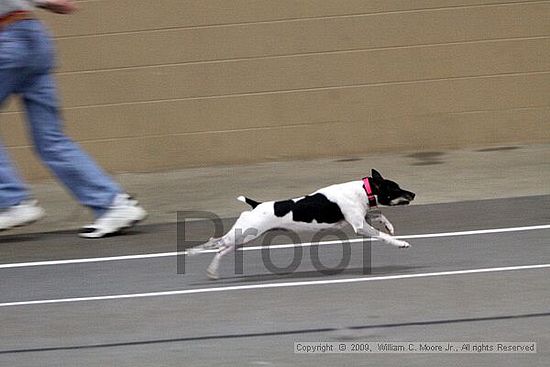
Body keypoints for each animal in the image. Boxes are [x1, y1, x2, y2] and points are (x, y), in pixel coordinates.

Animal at [192, 170, 416, 278]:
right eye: (395, 189)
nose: (413, 194)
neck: (363, 190)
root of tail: (255, 205)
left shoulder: (360, 218)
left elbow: (378, 215)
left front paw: (389, 226)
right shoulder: (359, 226)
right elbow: (383, 236)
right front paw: (401, 242)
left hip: (242, 239)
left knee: (221, 250)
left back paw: (211, 271)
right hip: (244, 234)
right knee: (216, 242)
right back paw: (195, 253)